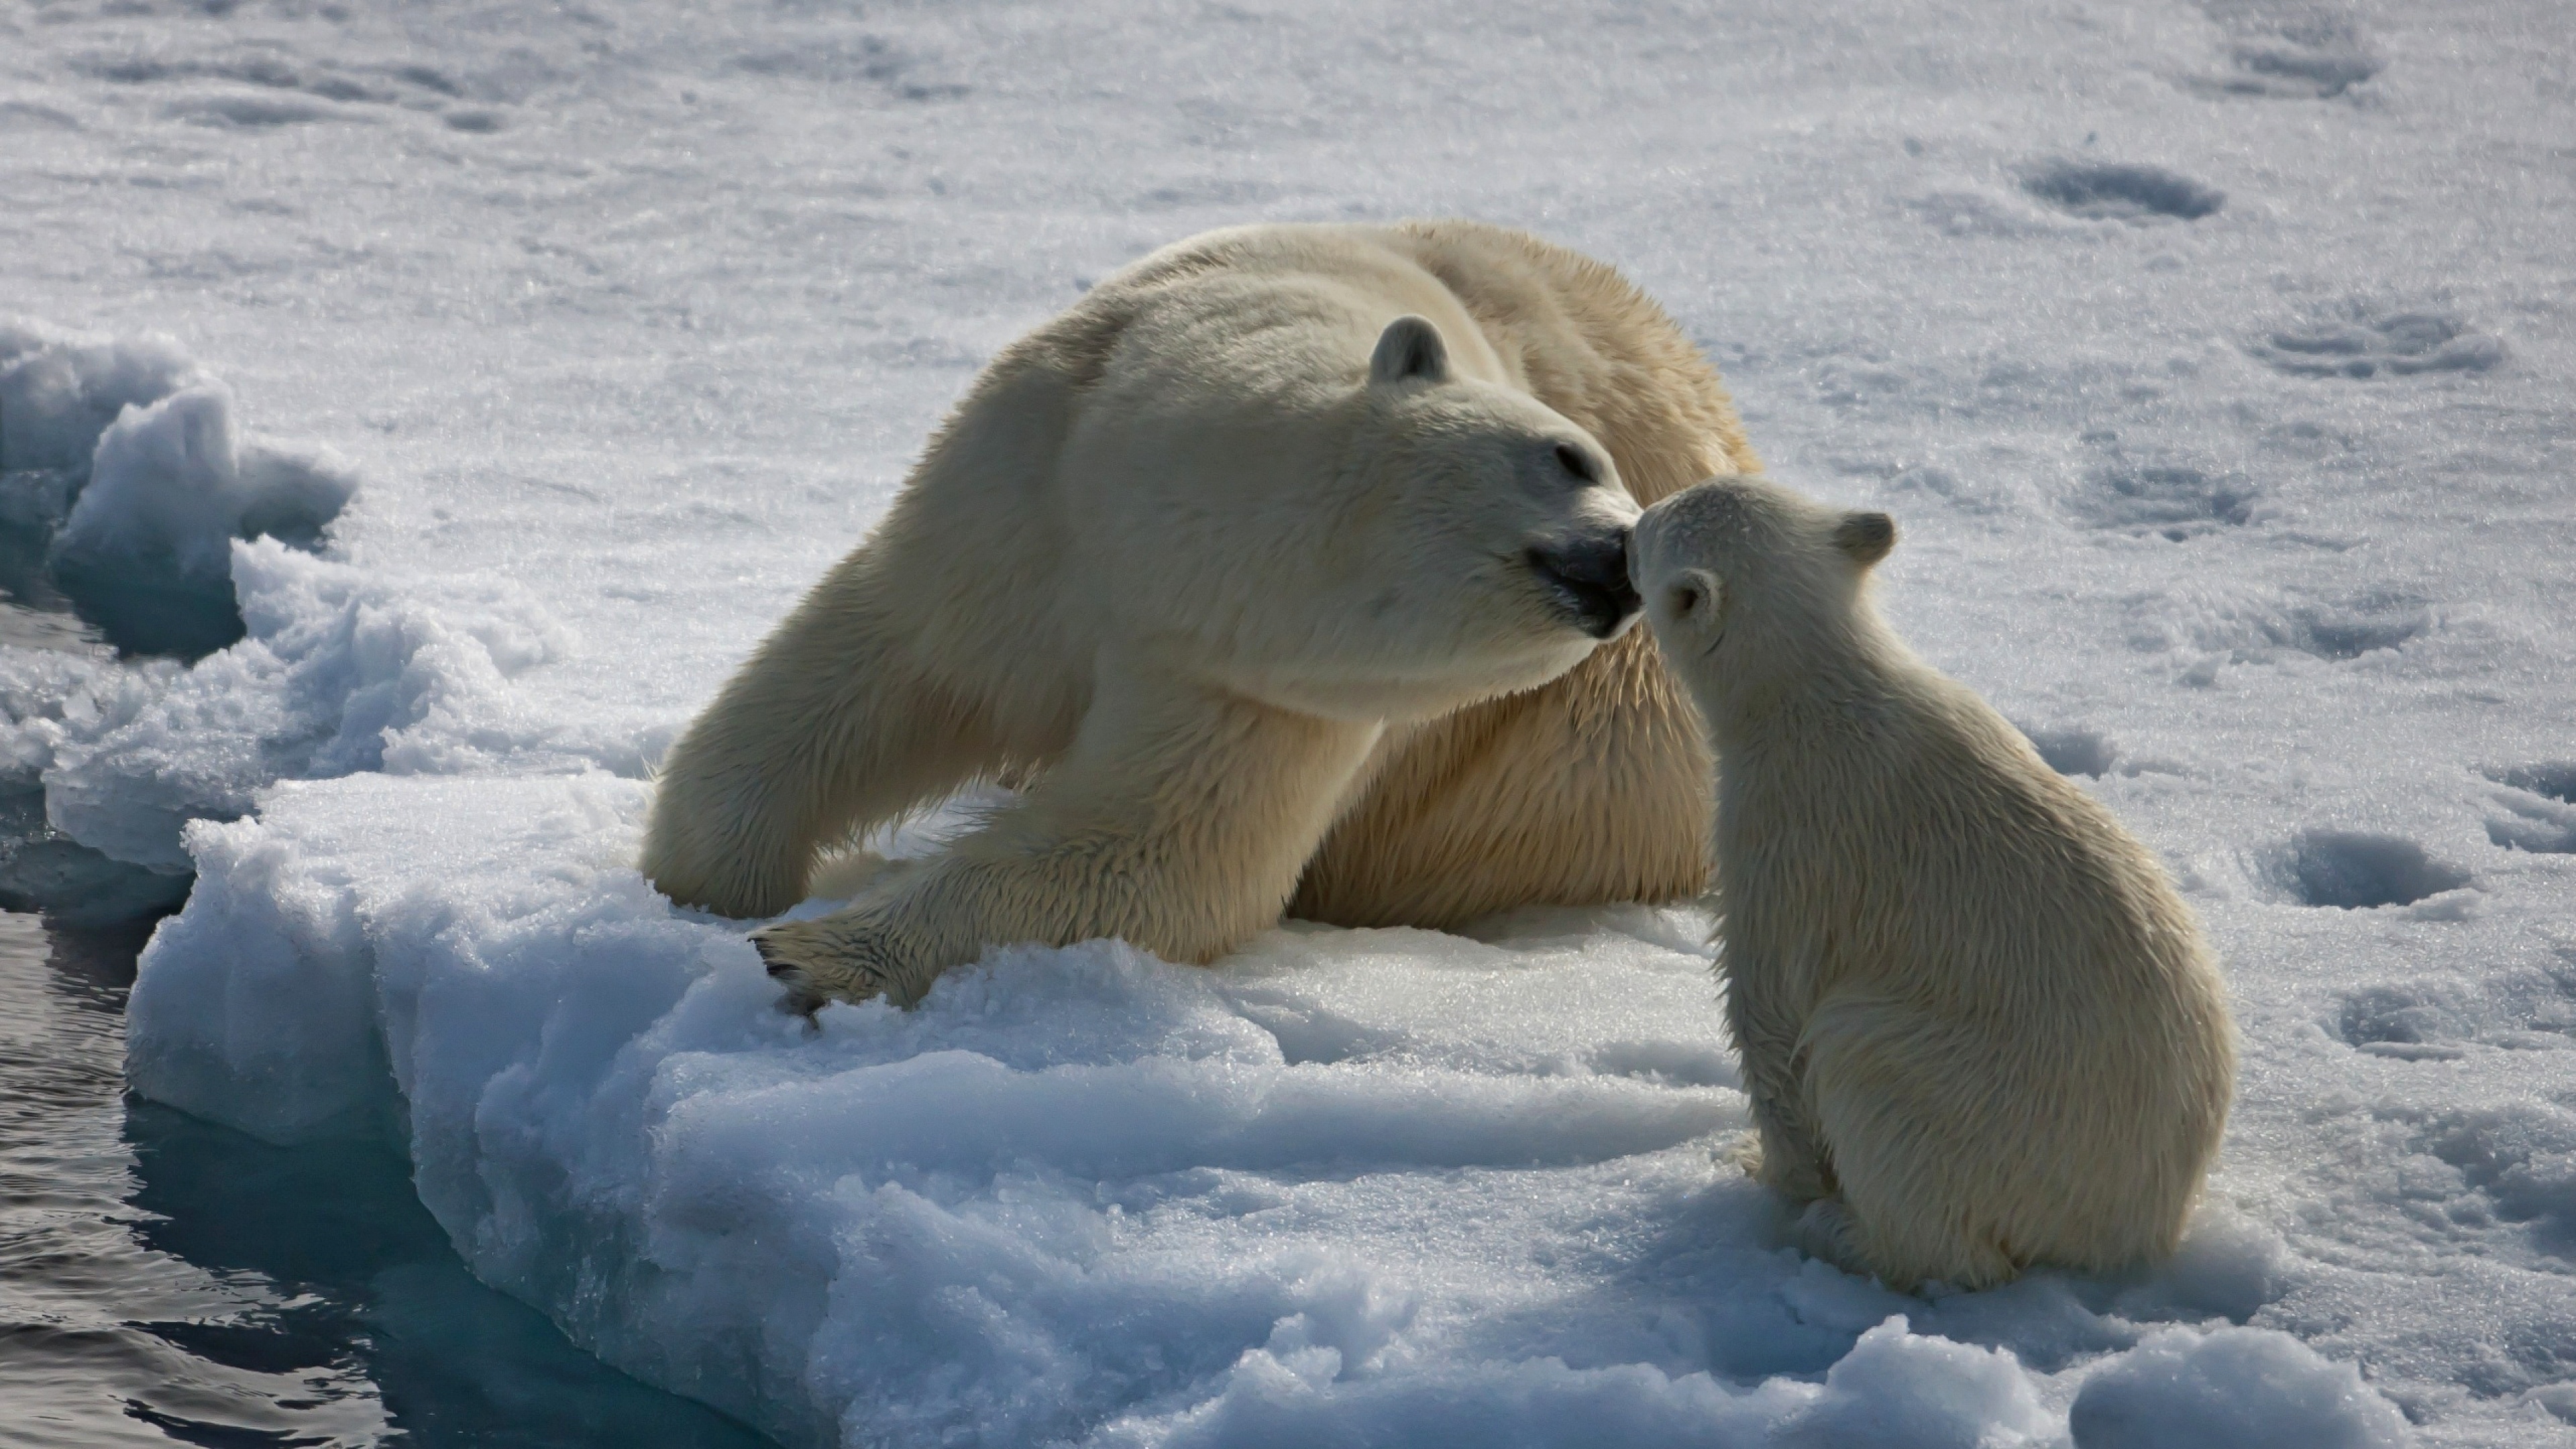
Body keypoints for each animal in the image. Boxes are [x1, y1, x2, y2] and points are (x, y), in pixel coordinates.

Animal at [654, 220, 1762, 1005]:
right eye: (1569, 455)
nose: (1625, 565)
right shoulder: (1027, 496)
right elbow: (887, 668)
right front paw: (706, 888)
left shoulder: (1259, 689)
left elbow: (1156, 854)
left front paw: (809, 949)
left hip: (1598, 770)